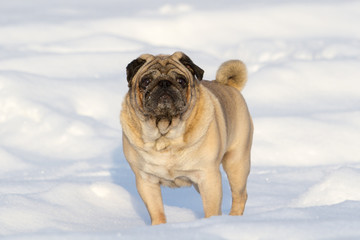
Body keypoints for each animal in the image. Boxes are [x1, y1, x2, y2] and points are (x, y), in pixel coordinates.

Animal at [121, 52, 253, 225]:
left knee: (240, 195)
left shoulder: (208, 177)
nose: (164, 83)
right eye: (146, 81)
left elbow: (211, 209)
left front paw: (211, 223)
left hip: (236, 163)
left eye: (181, 81)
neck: (165, 134)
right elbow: (157, 211)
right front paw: (159, 227)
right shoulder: (146, 180)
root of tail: (228, 84)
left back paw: (234, 219)